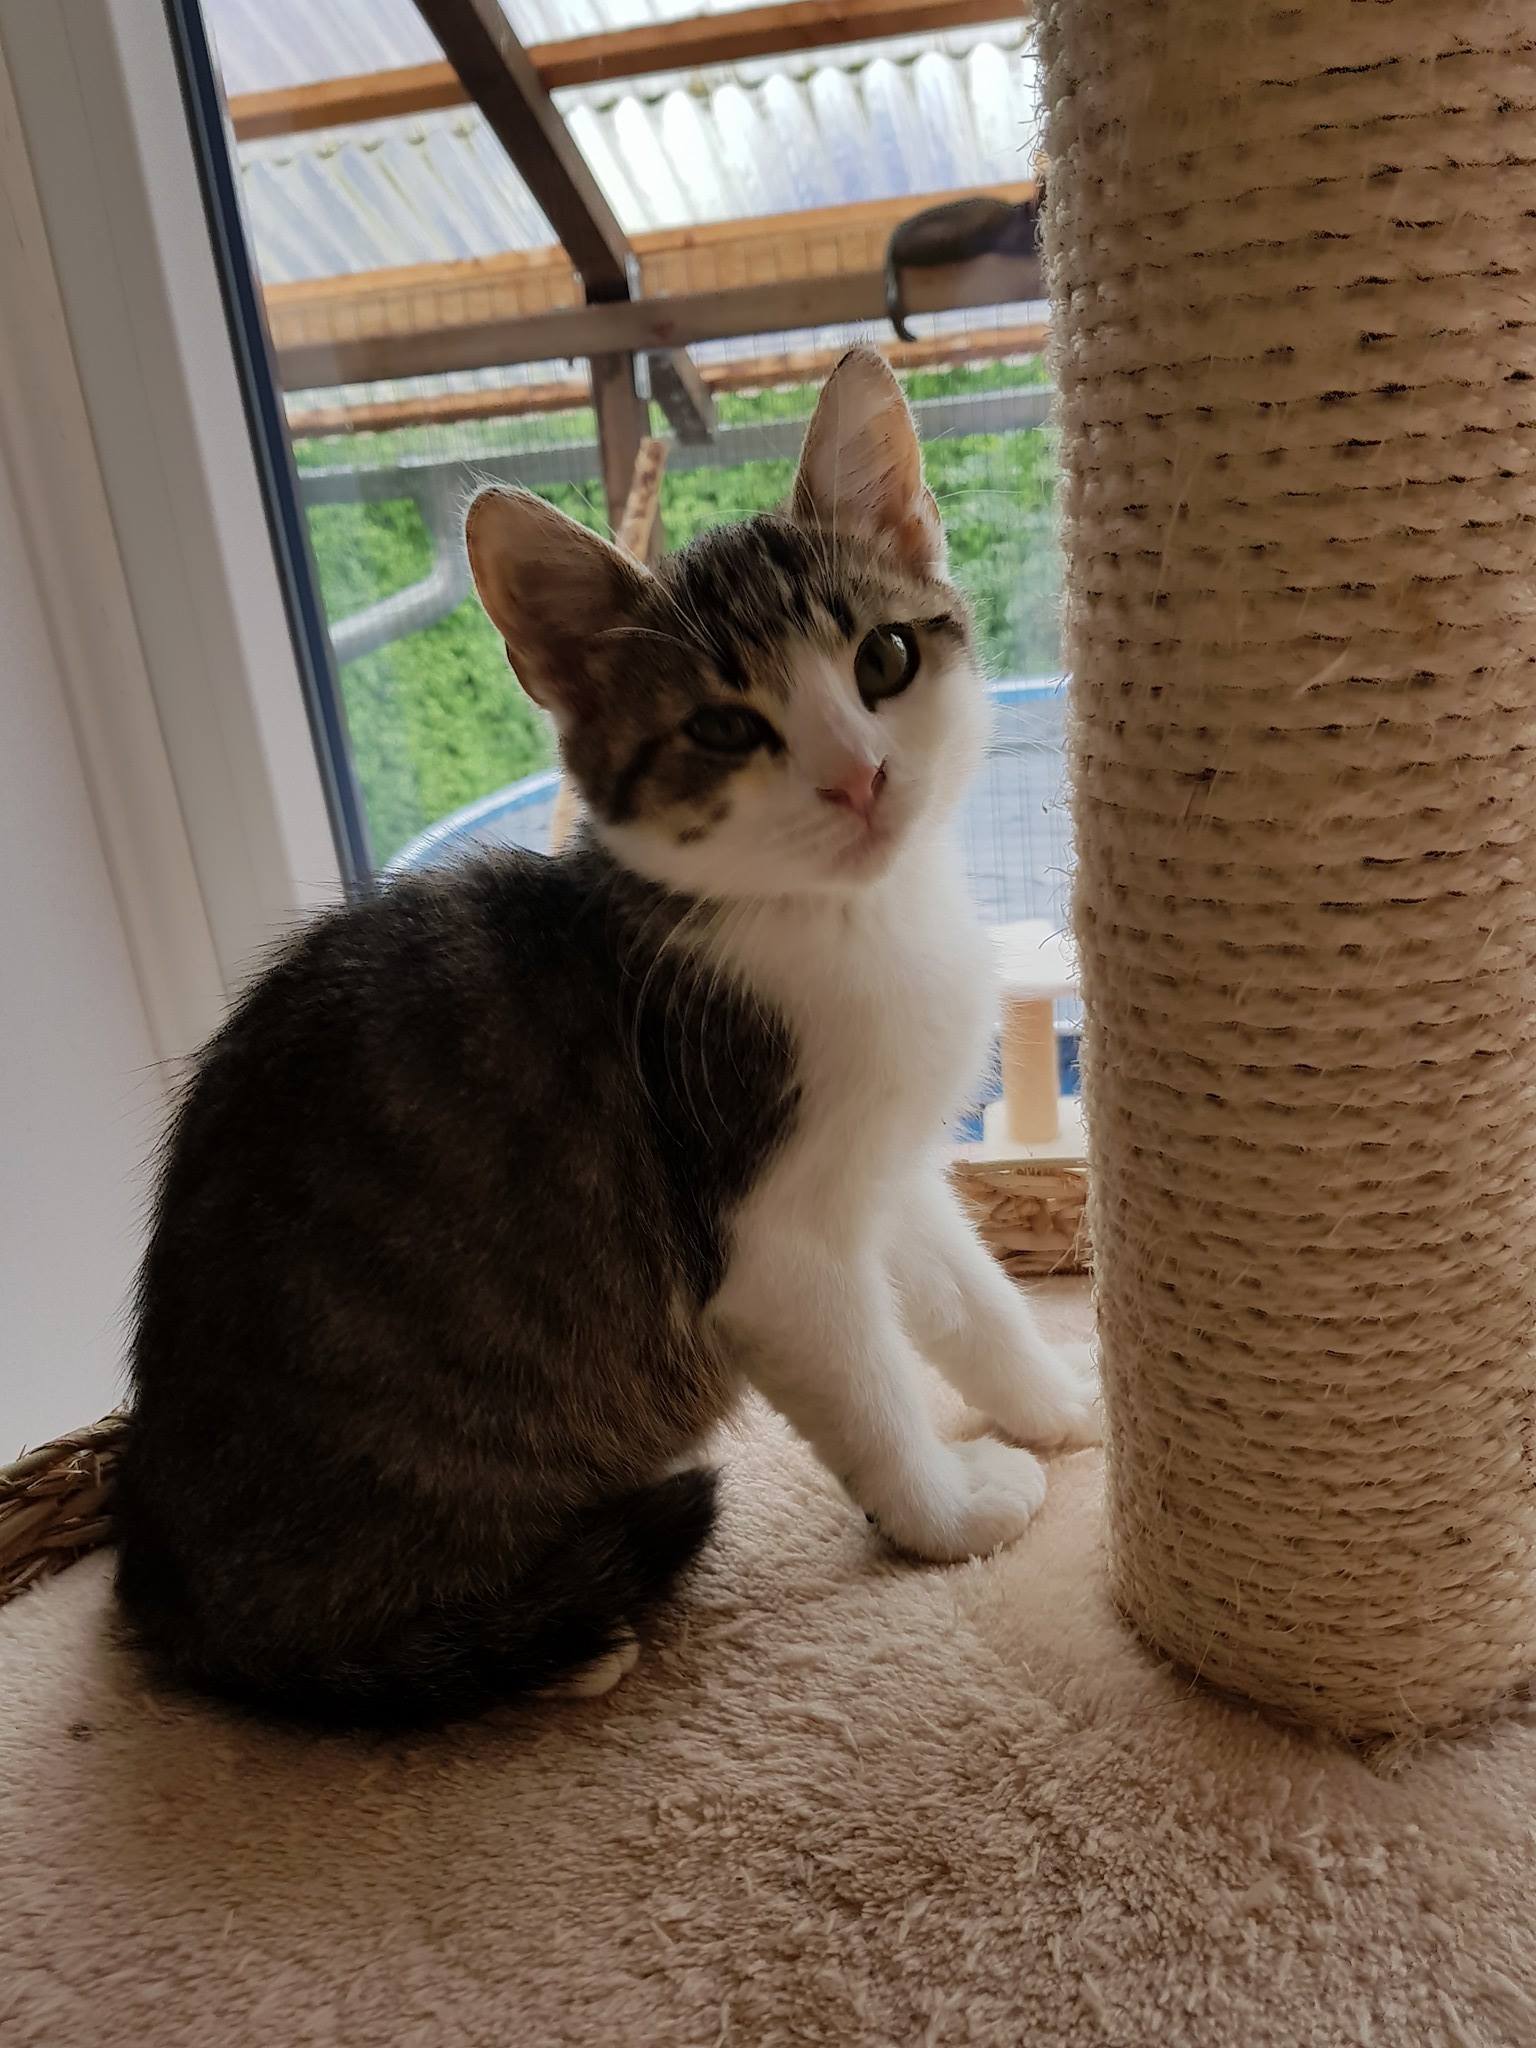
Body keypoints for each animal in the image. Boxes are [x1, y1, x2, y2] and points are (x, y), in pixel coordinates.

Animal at [114, 348, 1098, 1729]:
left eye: (886, 656)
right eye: (724, 728)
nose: (860, 777)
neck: (847, 922)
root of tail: (162, 1571)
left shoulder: (883, 1164)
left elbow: (969, 1296)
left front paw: (1058, 1400)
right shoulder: (768, 1235)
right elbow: (869, 1383)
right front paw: (948, 1510)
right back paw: (551, 1636)